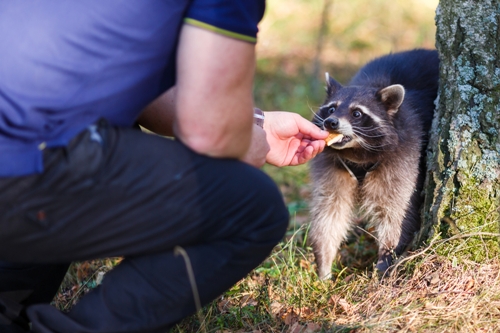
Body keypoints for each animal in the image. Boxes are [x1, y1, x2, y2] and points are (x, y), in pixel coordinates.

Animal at [308, 48, 438, 278]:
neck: (356, 153)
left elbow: (396, 214)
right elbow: (329, 210)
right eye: (331, 109)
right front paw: (323, 265)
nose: (330, 122)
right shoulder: (332, 165)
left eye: (357, 113)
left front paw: (385, 262)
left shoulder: (405, 157)